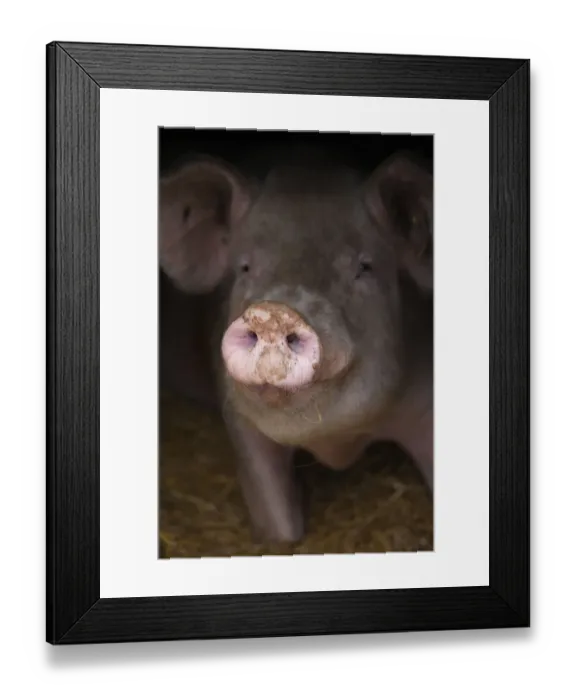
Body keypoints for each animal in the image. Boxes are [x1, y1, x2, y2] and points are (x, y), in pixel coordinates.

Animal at [158, 148, 433, 544]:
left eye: (364, 267)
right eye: (245, 267)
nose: (276, 311)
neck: (336, 442)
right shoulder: (239, 420)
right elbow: (280, 524)